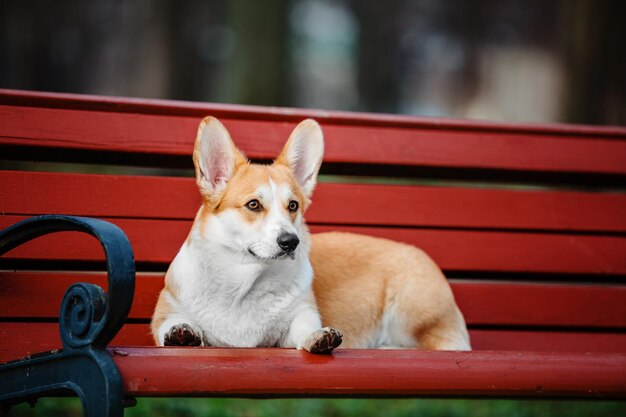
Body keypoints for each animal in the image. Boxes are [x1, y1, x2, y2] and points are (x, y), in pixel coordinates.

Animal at [150, 116, 468, 352]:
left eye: (293, 205)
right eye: (253, 204)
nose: (290, 242)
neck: (245, 281)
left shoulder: (301, 314)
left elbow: (304, 329)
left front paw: (319, 338)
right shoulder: (164, 315)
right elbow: (173, 326)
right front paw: (182, 334)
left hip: (413, 315)